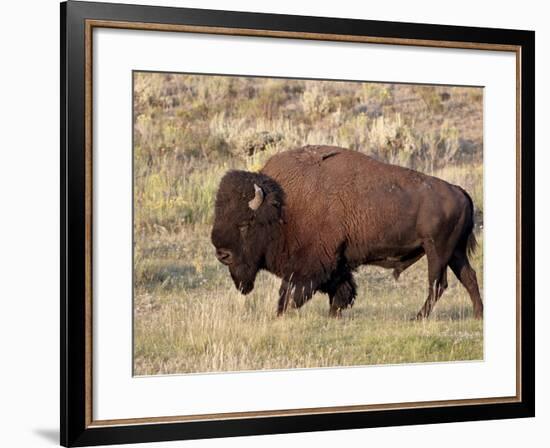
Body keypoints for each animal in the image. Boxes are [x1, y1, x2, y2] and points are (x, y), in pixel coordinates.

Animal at [211, 146, 484, 318]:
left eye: (245, 223)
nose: (222, 254)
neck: (283, 207)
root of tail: (459, 190)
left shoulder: (310, 265)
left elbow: (291, 294)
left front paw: (281, 314)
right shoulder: (336, 262)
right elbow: (341, 290)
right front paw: (334, 314)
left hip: (437, 250)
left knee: (438, 284)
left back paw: (419, 318)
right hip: (454, 252)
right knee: (468, 277)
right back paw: (477, 315)